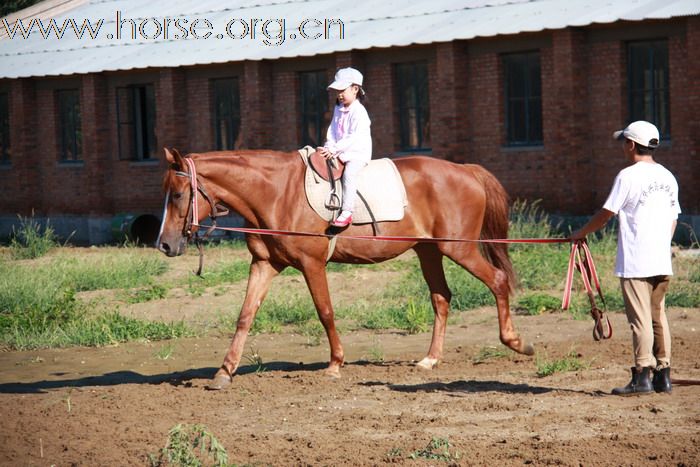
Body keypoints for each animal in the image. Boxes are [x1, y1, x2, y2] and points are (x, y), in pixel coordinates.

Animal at [157, 148, 532, 390]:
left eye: (177, 194)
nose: (164, 244)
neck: (277, 193)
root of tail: (466, 170)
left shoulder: (312, 264)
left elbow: (325, 312)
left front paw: (335, 364)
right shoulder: (265, 264)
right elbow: (245, 315)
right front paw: (225, 371)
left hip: (458, 248)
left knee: (497, 281)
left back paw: (516, 342)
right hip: (429, 250)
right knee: (441, 298)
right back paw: (430, 359)